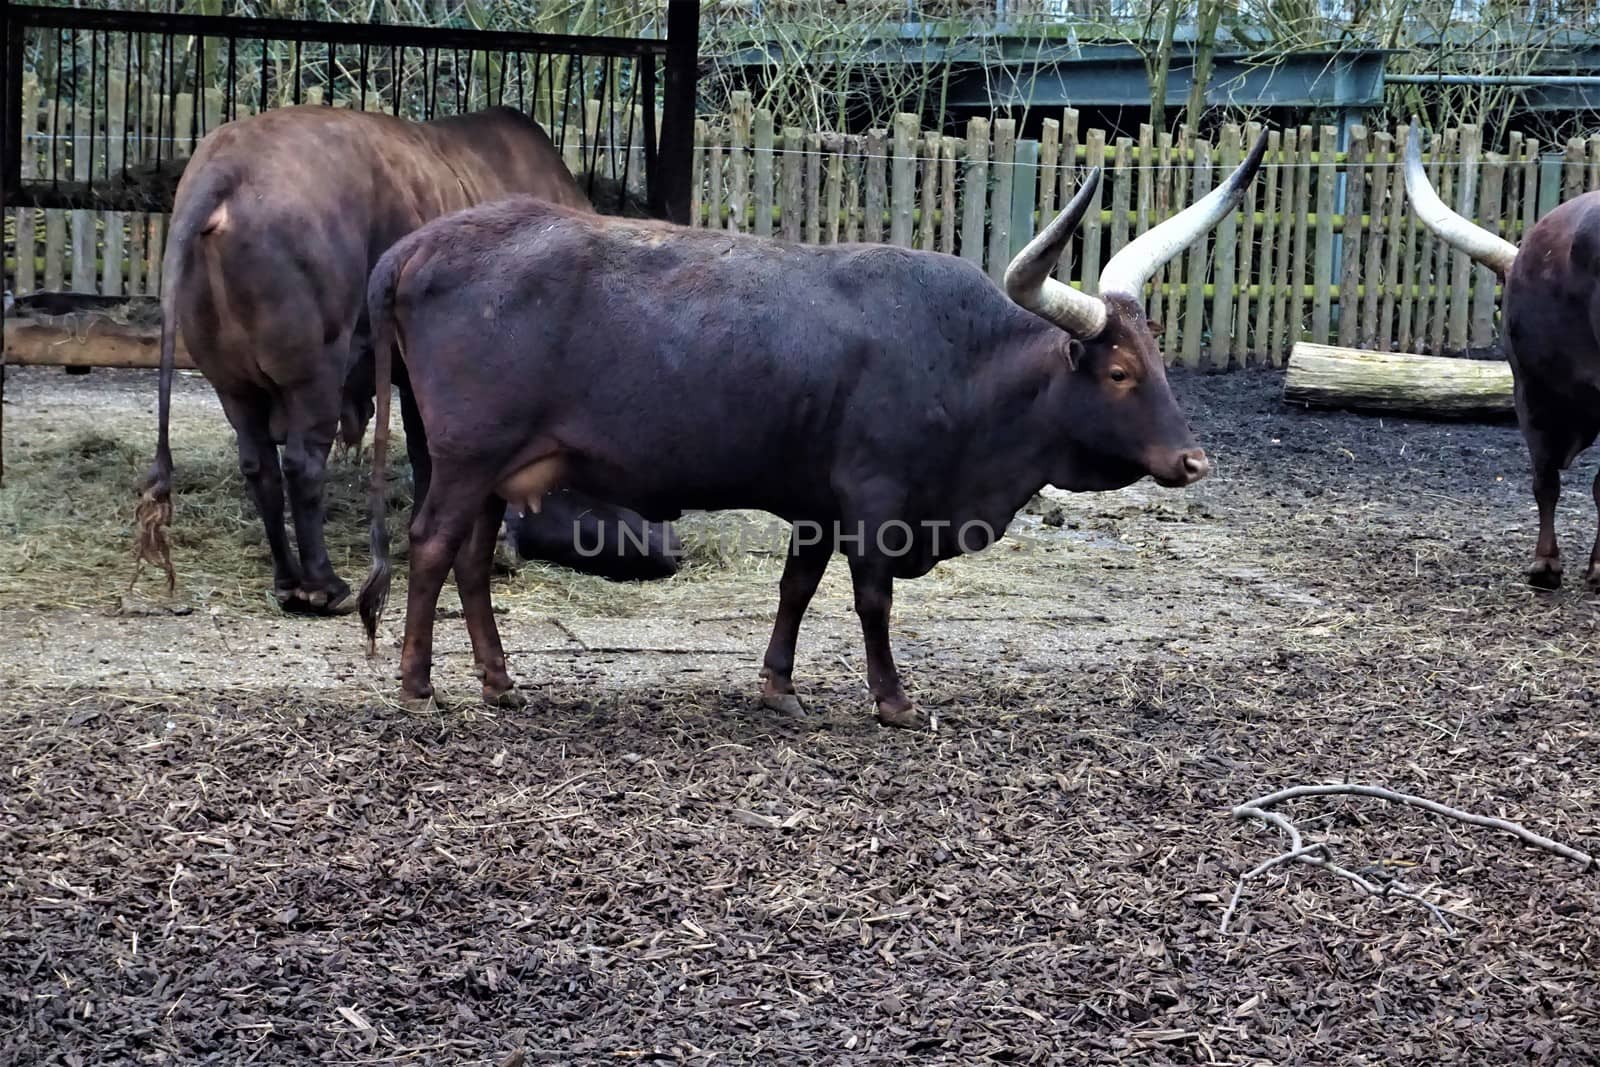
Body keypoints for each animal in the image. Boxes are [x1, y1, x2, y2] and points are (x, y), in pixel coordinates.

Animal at [134, 106, 678, 617]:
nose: (666, 547)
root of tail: (226, 168)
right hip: (314, 370)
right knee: (303, 464)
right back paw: (323, 585)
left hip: (233, 382)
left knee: (259, 466)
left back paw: (287, 581)